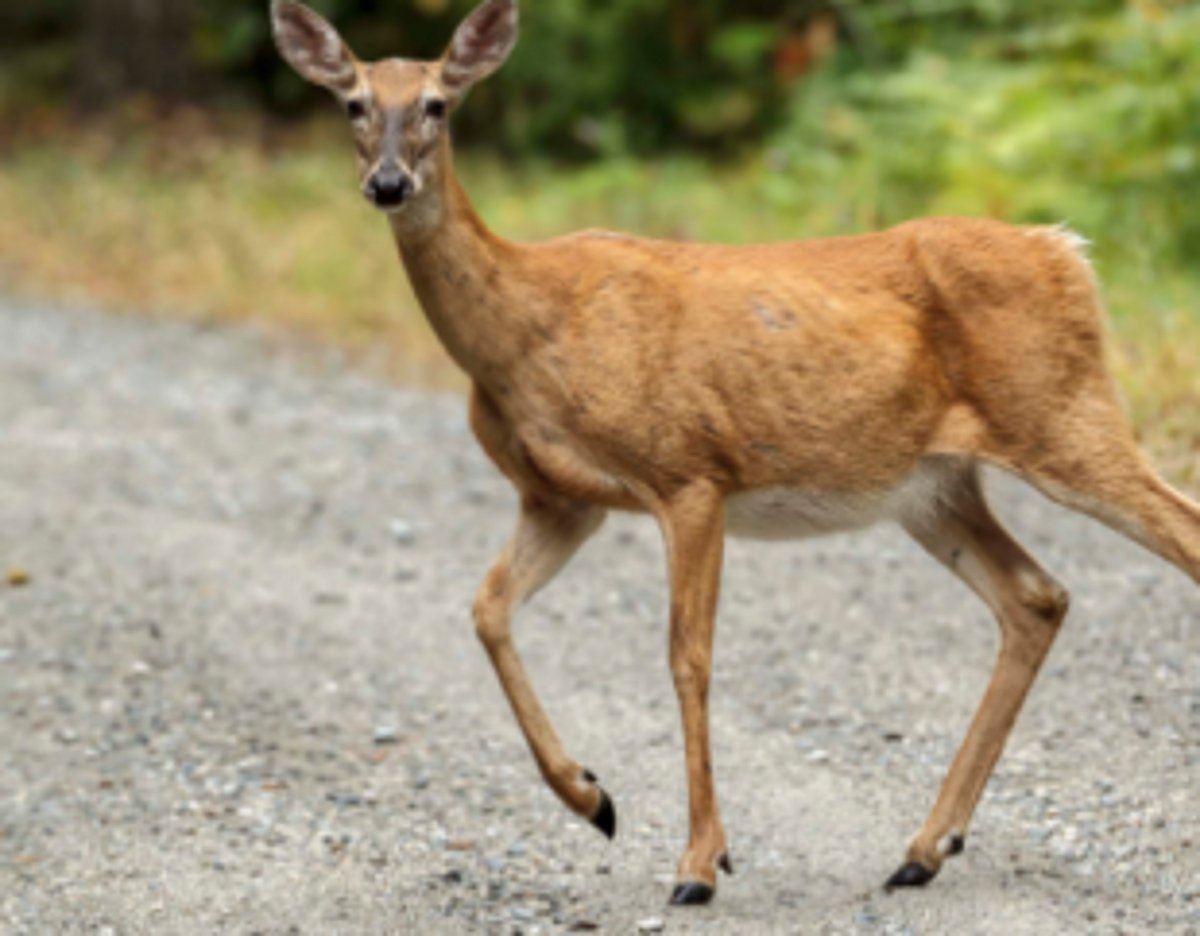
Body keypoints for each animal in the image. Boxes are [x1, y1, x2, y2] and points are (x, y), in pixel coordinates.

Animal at [270, 0, 1200, 907]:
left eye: (437, 103)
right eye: (352, 103)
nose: (389, 182)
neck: (525, 334)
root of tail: (1067, 251)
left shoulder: (687, 472)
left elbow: (689, 658)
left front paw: (698, 863)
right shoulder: (562, 500)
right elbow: (487, 608)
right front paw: (593, 798)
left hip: (1060, 413)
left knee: (1176, 535)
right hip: (934, 487)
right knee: (1035, 596)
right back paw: (924, 850)